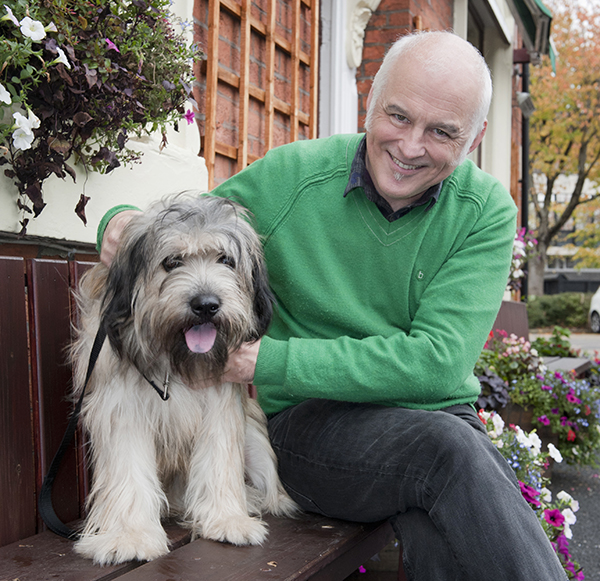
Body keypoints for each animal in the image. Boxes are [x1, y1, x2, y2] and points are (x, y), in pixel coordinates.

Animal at [71, 194, 296, 560]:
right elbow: (129, 469)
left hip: (256, 443)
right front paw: (130, 535)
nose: (206, 305)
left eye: (225, 260)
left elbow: (219, 459)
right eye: (172, 261)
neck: (174, 356)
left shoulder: (220, 406)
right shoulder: (123, 408)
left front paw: (227, 519)